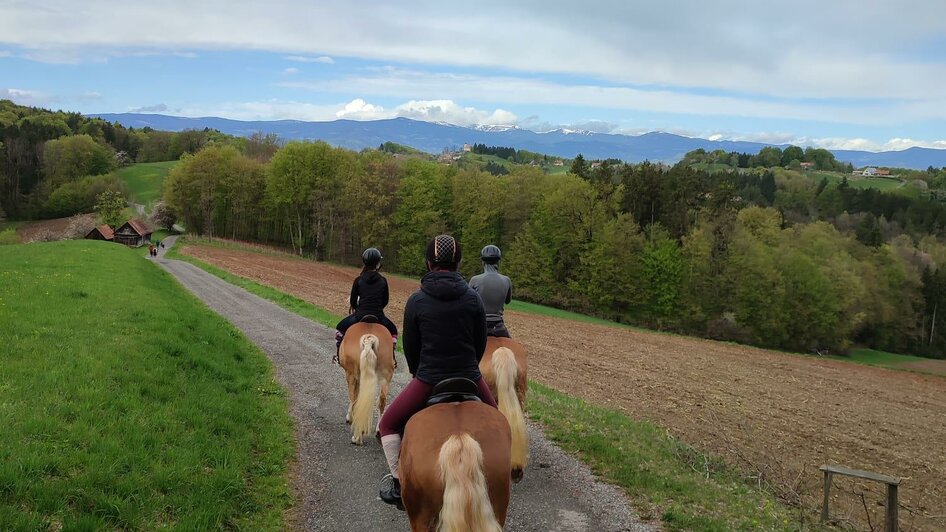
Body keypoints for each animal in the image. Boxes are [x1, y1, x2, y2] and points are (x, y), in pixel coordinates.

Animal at [338, 318, 392, 446]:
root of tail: (369, 339)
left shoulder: (352, 375)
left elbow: (355, 398)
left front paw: (350, 418)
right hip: (385, 377)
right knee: (382, 401)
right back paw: (378, 432)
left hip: (352, 374)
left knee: (354, 398)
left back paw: (357, 436)